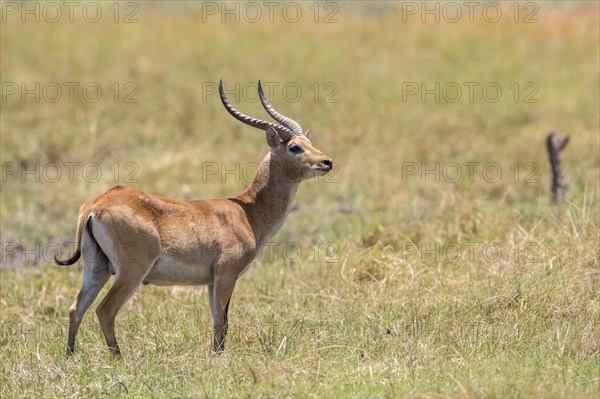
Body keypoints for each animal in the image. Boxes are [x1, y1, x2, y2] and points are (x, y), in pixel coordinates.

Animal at [56, 81, 332, 356]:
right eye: (295, 147)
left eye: (309, 141)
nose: (327, 161)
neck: (248, 213)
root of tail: (96, 205)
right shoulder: (225, 275)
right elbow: (222, 321)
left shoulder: (212, 281)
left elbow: (218, 320)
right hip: (130, 272)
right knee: (105, 310)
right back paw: (119, 359)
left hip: (97, 268)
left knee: (76, 308)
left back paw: (71, 356)